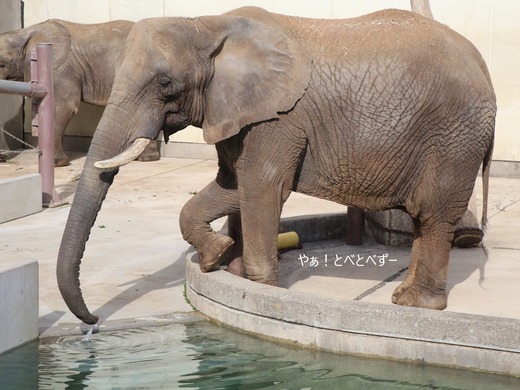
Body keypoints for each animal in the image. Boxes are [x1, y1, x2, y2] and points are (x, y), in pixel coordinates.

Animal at [0, 19, 159, 166]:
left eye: (2, 64)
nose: (4, 158)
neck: (24, 33)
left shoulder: (60, 68)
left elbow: (62, 107)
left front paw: (57, 163)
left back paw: (146, 158)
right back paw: (146, 158)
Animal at [55, 9, 496, 326]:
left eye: (165, 85)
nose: (92, 320)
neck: (205, 25)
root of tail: (482, 64)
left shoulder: (278, 120)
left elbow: (263, 188)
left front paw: (260, 289)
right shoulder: (236, 112)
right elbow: (230, 185)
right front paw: (217, 257)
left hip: (454, 138)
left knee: (434, 215)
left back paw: (417, 305)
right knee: (426, 218)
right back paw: (404, 297)